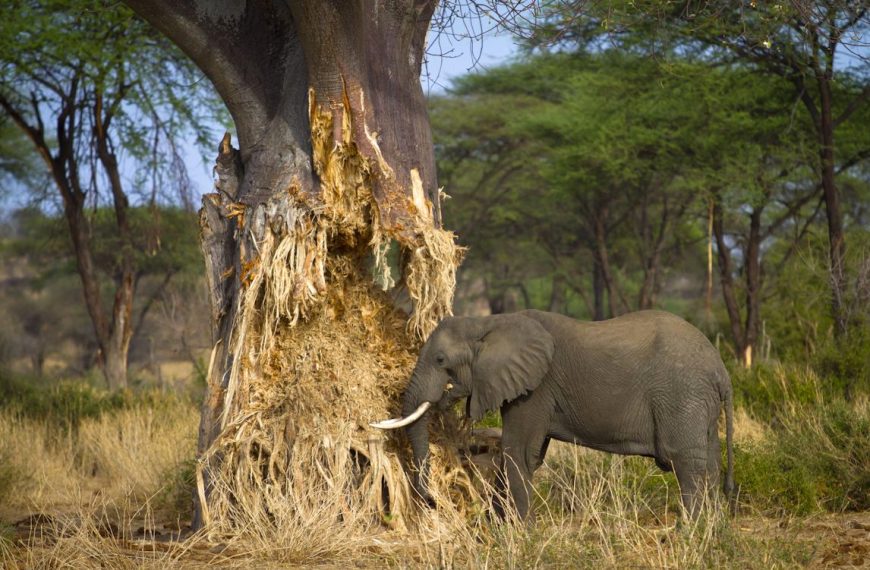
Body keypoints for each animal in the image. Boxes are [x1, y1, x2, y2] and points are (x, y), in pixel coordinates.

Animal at [372, 309, 734, 520]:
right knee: (710, 462)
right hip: (699, 404)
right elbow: (523, 456)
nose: (432, 502)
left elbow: (518, 452)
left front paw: (520, 535)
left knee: (685, 464)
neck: (490, 322)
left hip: (682, 396)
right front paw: (500, 527)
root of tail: (722, 371)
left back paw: (689, 535)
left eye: (440, 360)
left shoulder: (537, 387)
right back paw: (715, 536)